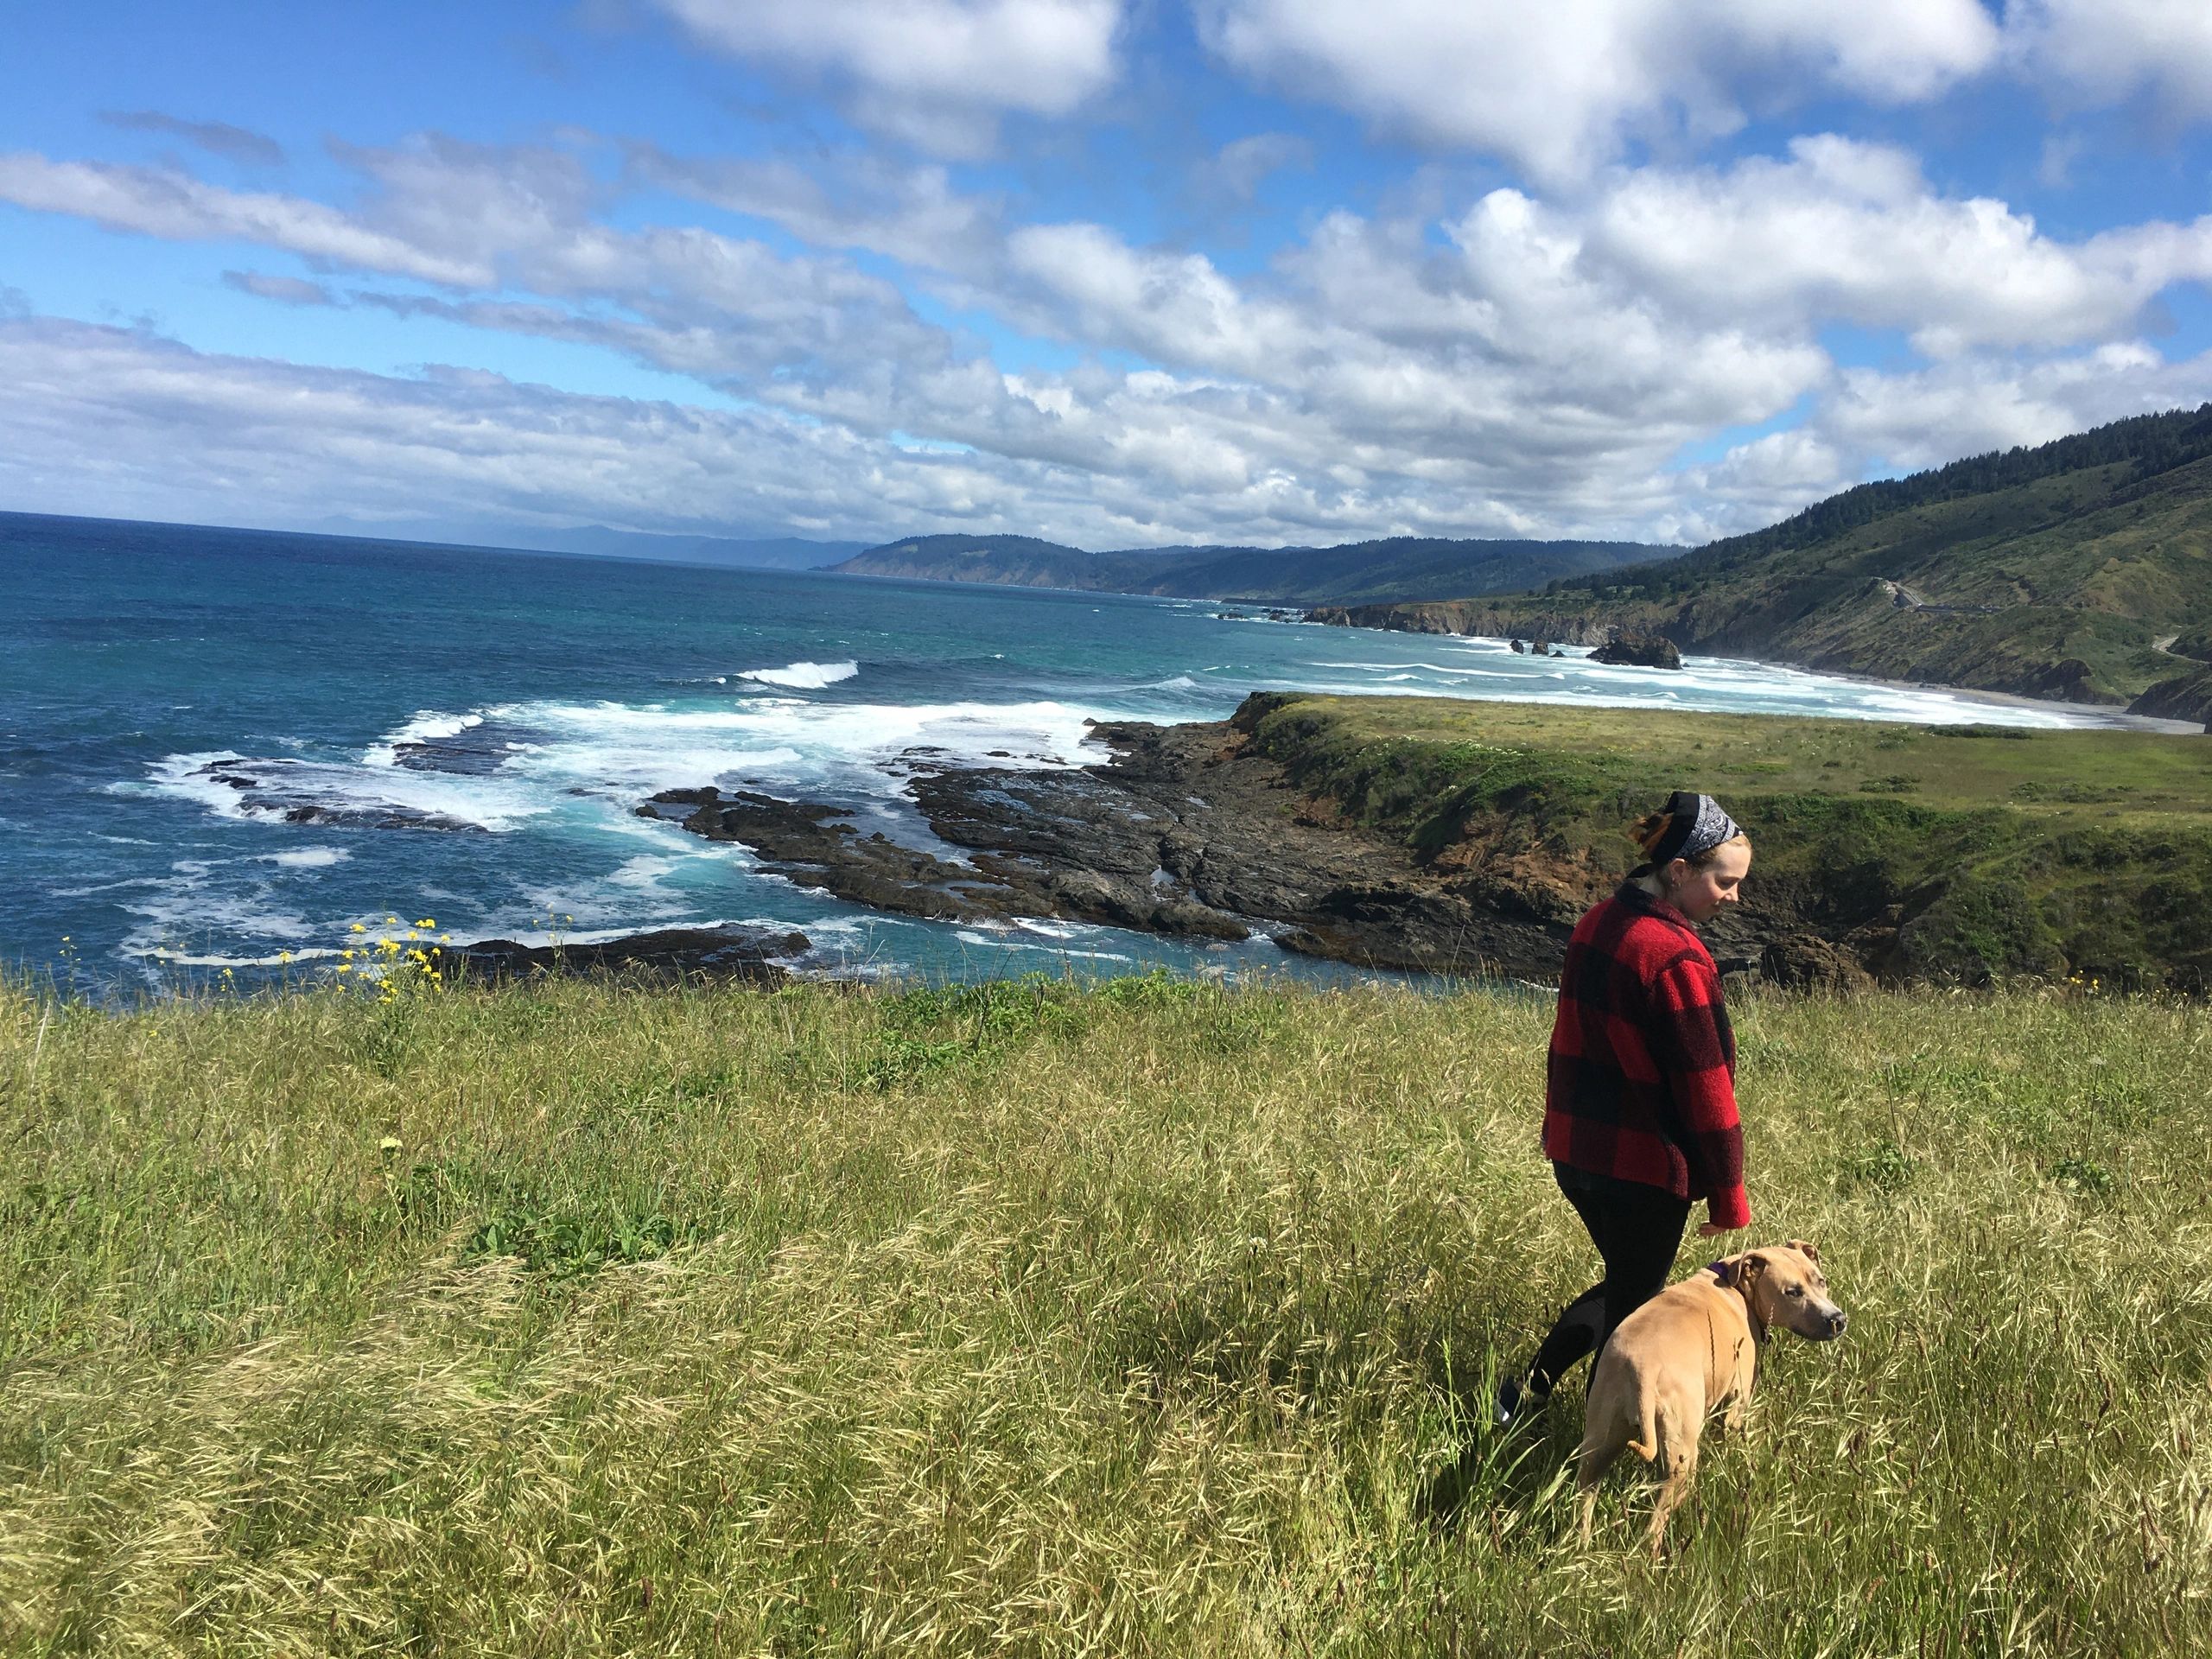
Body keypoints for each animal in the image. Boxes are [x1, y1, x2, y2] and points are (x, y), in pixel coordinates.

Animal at [1574, 1247, 1849, 1557]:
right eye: (1792, 1292)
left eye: (1821, 1281)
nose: (1838, 1319)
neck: (1736, 1284)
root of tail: (1642, 1368)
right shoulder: (1735, 1405)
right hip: (1682, 1459)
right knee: (1654, 1526)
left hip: (1598, 1442)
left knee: (1585, 1496)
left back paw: (1580, 1546)